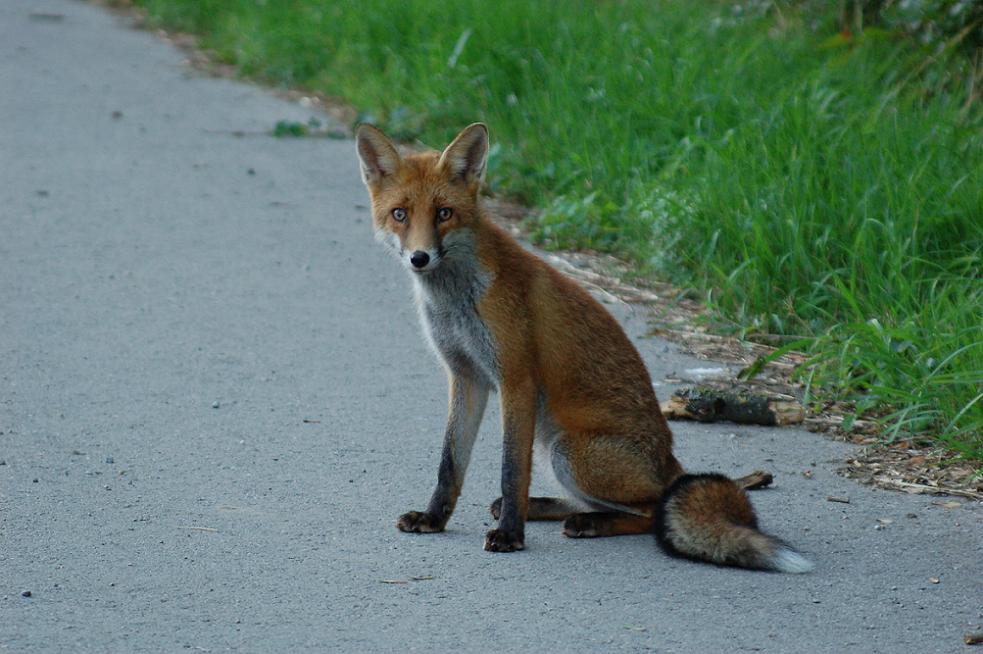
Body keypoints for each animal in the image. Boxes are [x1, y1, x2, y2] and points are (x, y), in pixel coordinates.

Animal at [354, 123, 816, 576]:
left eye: (444, 213)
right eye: (400, 214)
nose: (419, 257)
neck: (456, 300)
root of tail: (670, 461)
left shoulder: (516, 379)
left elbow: (511, 470)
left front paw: (510, 535)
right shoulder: (466, 377)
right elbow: (449, 464)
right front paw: (435, 518)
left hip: (568, 453)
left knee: (653, 511)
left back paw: (588, 522)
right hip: (556, 450)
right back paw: (549, 509)